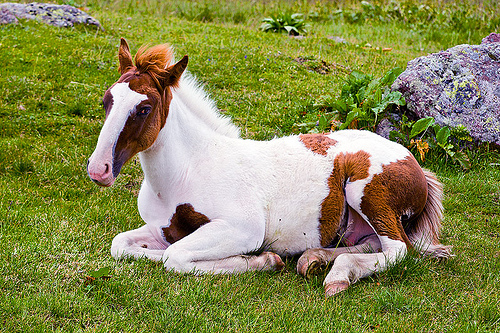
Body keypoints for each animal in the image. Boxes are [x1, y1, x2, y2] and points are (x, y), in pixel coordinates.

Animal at [87, 38, 454, 296]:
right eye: (107, 99)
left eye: (144, 108)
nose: (98, 169)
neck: (185, 173)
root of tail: (418, 167)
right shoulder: (160, 228)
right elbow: (122, 246)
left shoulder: (242, 228)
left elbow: (174, 257)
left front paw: (262, 260)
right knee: (372, 243)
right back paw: (315, 258)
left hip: (365, 191)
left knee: (397, 250)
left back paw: (337, 275)